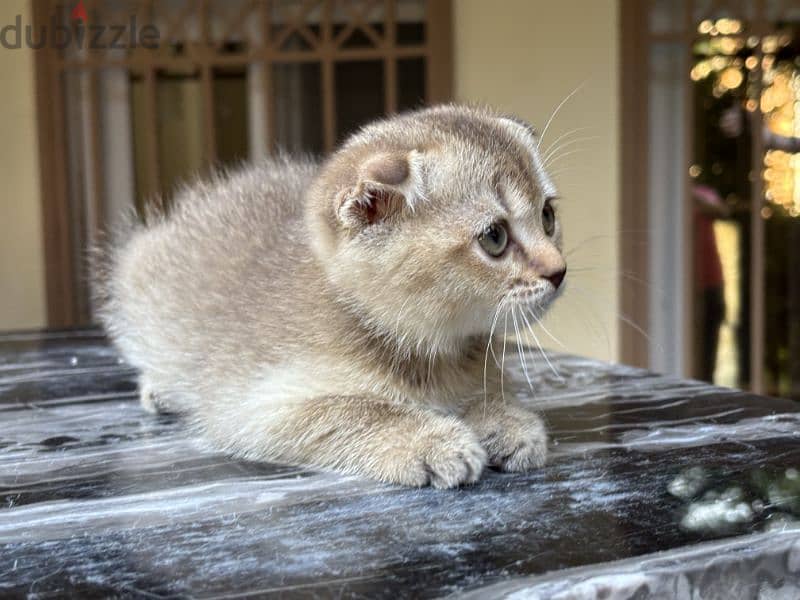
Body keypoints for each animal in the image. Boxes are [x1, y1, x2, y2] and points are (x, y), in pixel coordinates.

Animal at [98, 103, 564, 488]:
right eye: (494, 237)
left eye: (547, 216)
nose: (558, 271)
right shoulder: (250, 406)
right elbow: (352, 411)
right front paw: (431, 441)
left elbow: (489, 388)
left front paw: (505, 419)